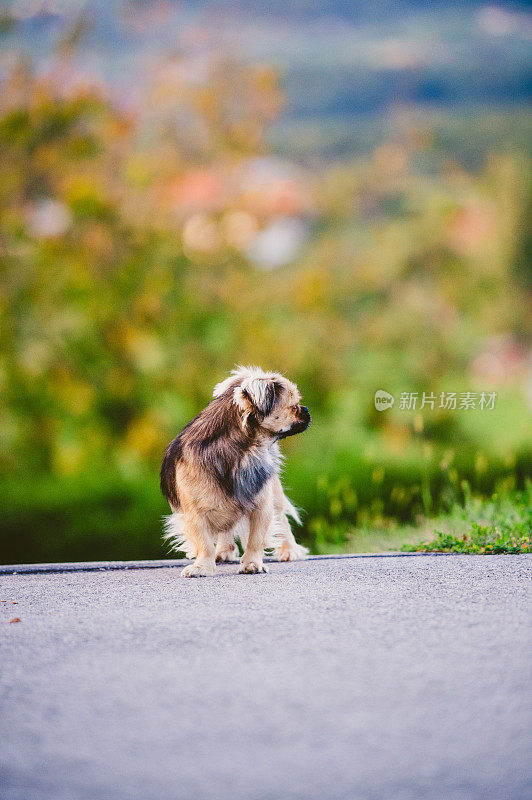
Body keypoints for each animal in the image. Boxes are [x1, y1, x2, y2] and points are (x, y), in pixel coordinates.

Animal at [161, 366, 312, 580]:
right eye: (293, 406)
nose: (306, 409)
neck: (241, 451)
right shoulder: (194, 515)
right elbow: (204, 544)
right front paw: (202, 566)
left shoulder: (261, 507)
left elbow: (255, 541)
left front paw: (252, 564)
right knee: (225, 530)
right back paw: (223, 552)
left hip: (274, 494)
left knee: (282, 520)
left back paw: (288, 550)